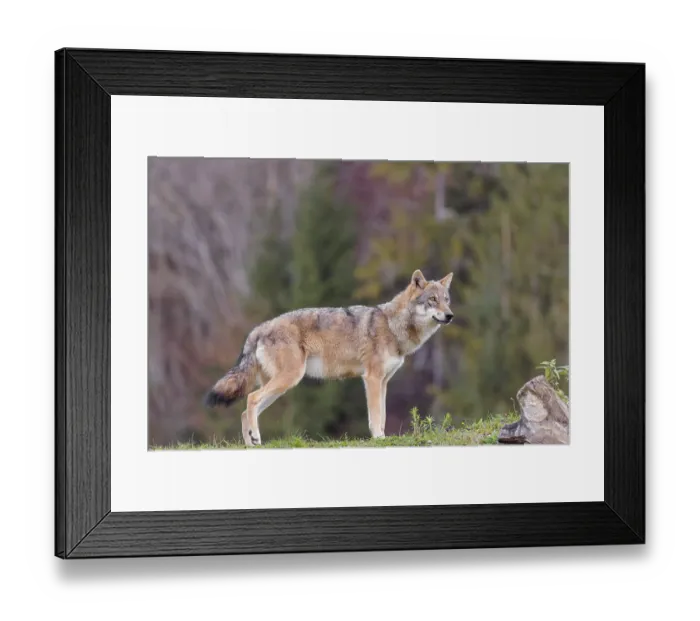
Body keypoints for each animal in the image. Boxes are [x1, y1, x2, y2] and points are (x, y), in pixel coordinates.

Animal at [205, 269, 454, 447]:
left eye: (447, 299)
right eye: (432, 299)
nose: (450, 316)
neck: (393, 326)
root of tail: (259, 328)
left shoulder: (383, 382)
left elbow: (382, 415)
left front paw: (382, 437)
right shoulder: (372, 379)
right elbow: (375, 416)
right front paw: (378, 439)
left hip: (281, 386)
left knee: (245, 411)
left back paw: (252, 444)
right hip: (287, 380)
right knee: (251, 399)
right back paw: (255, 438)